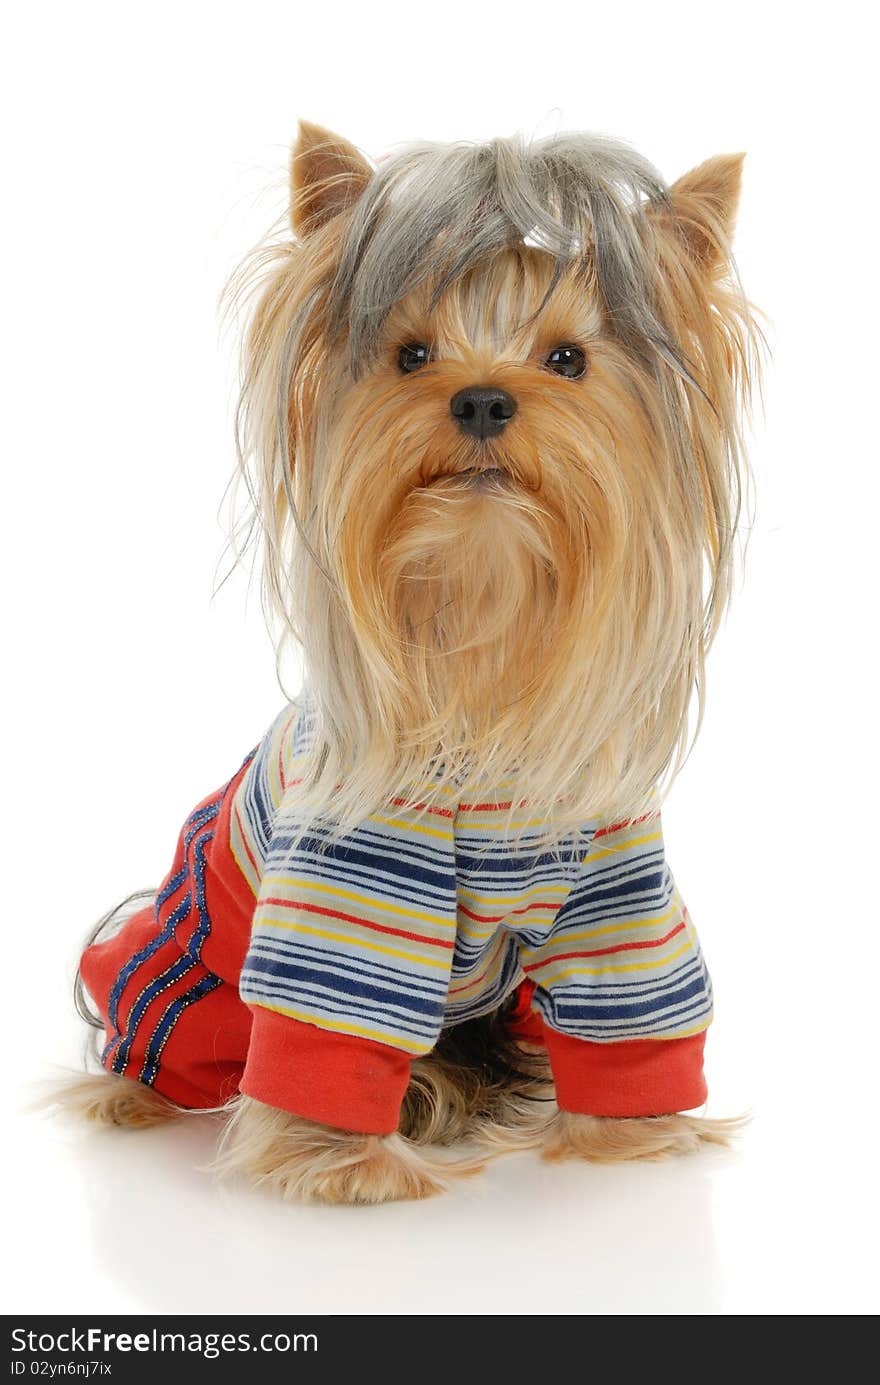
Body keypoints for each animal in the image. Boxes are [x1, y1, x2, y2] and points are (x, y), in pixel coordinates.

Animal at [58, 121, 759, 1202]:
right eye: (410, 354)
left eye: (568, 358)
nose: (481, 397)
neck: (482, 619)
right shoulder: (352, 882)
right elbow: (327, 1020)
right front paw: (347, 1165)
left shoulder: (617, 890)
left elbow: (629, 1011)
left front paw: (630, 1138)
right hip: (190, 968)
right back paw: (138, 1096)